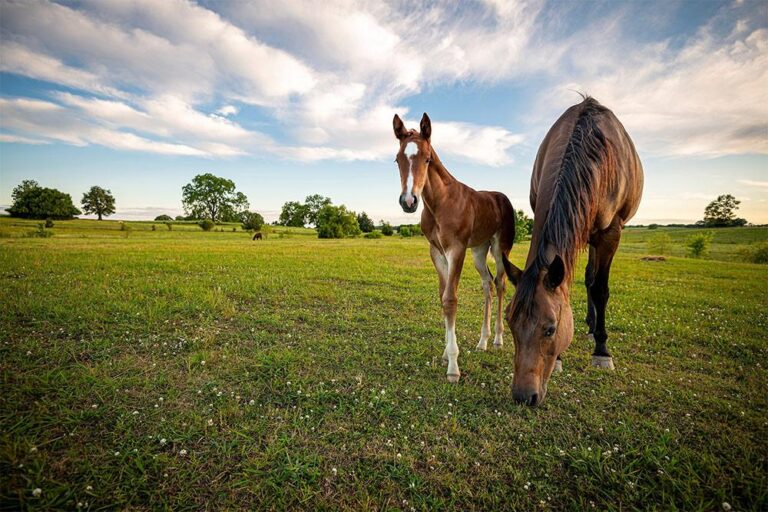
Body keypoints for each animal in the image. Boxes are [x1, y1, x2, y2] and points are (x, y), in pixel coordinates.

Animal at [392, 113, 520, 384]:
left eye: (427, 158)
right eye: (397, 159)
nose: (408, 201)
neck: (440, 203)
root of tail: (502, 198)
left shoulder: (457, 250)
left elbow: (450, 299)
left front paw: (453, 366)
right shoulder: (437, 253)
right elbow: (442, 296)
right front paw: (444, 354)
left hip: (499, 248)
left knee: (500, 283)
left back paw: (497, 339)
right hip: (479, 251)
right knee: (487, 284)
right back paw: (482, 341)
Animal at [504, 98, 640, 406]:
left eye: (550, 328)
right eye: (509, 322)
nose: (523, 397)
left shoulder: (611, 232)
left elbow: (600, 288)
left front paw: (602, 351)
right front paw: (560, 358)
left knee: (593, 280)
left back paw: (595, 333)